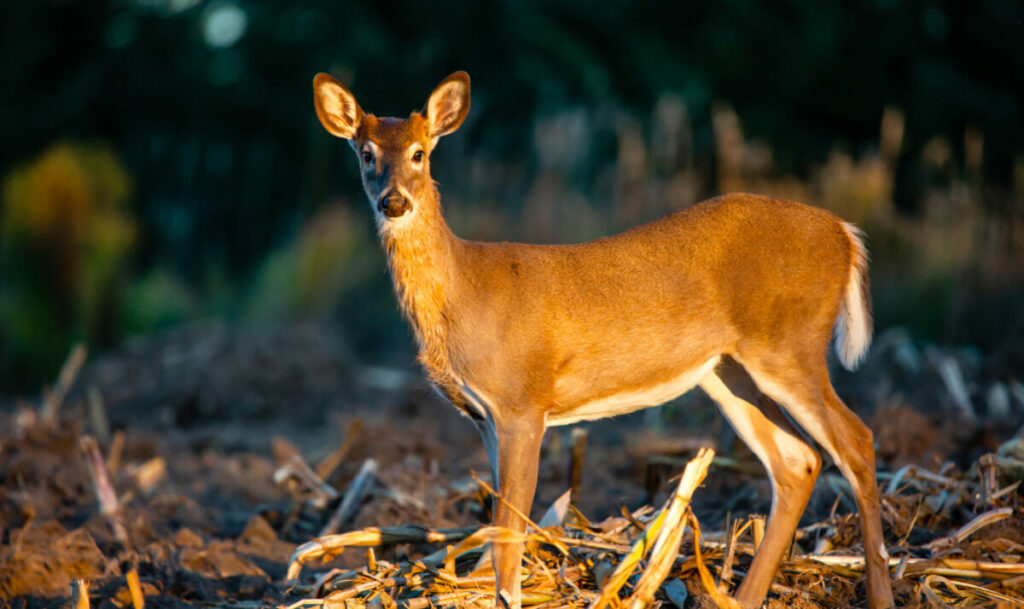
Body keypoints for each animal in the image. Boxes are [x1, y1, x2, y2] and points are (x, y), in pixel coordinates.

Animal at [311, 70, 895, 609]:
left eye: (419, 153)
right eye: (366, 153)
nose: (394, 202)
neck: (463, 293)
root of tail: (845, 233)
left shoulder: (523, 403)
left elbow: (509, 535)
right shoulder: (484, 417)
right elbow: (499, 523)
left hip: (789, 345)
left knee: (858, 441)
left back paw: (880, 594)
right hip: (727, 371)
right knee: (798, 462)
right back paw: (743, 597)